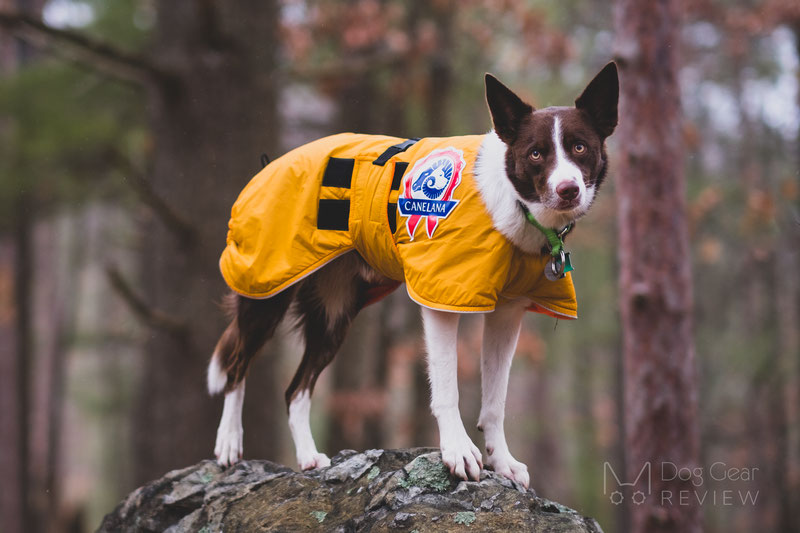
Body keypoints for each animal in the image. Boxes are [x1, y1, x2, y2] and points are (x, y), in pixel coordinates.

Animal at [206, 61, 620, 486]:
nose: (568, 189)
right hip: (267, 291)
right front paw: (457, 452)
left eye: (580, 147)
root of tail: (270, 165)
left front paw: (502, 462)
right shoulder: (442, 297)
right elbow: (448, 389)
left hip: (334, 314)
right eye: (536, 153)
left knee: (295, 391)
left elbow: (495, 401)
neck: (516, 207)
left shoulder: (508, 316)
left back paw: (308, 457)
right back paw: (229, 444)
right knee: (236, 364)